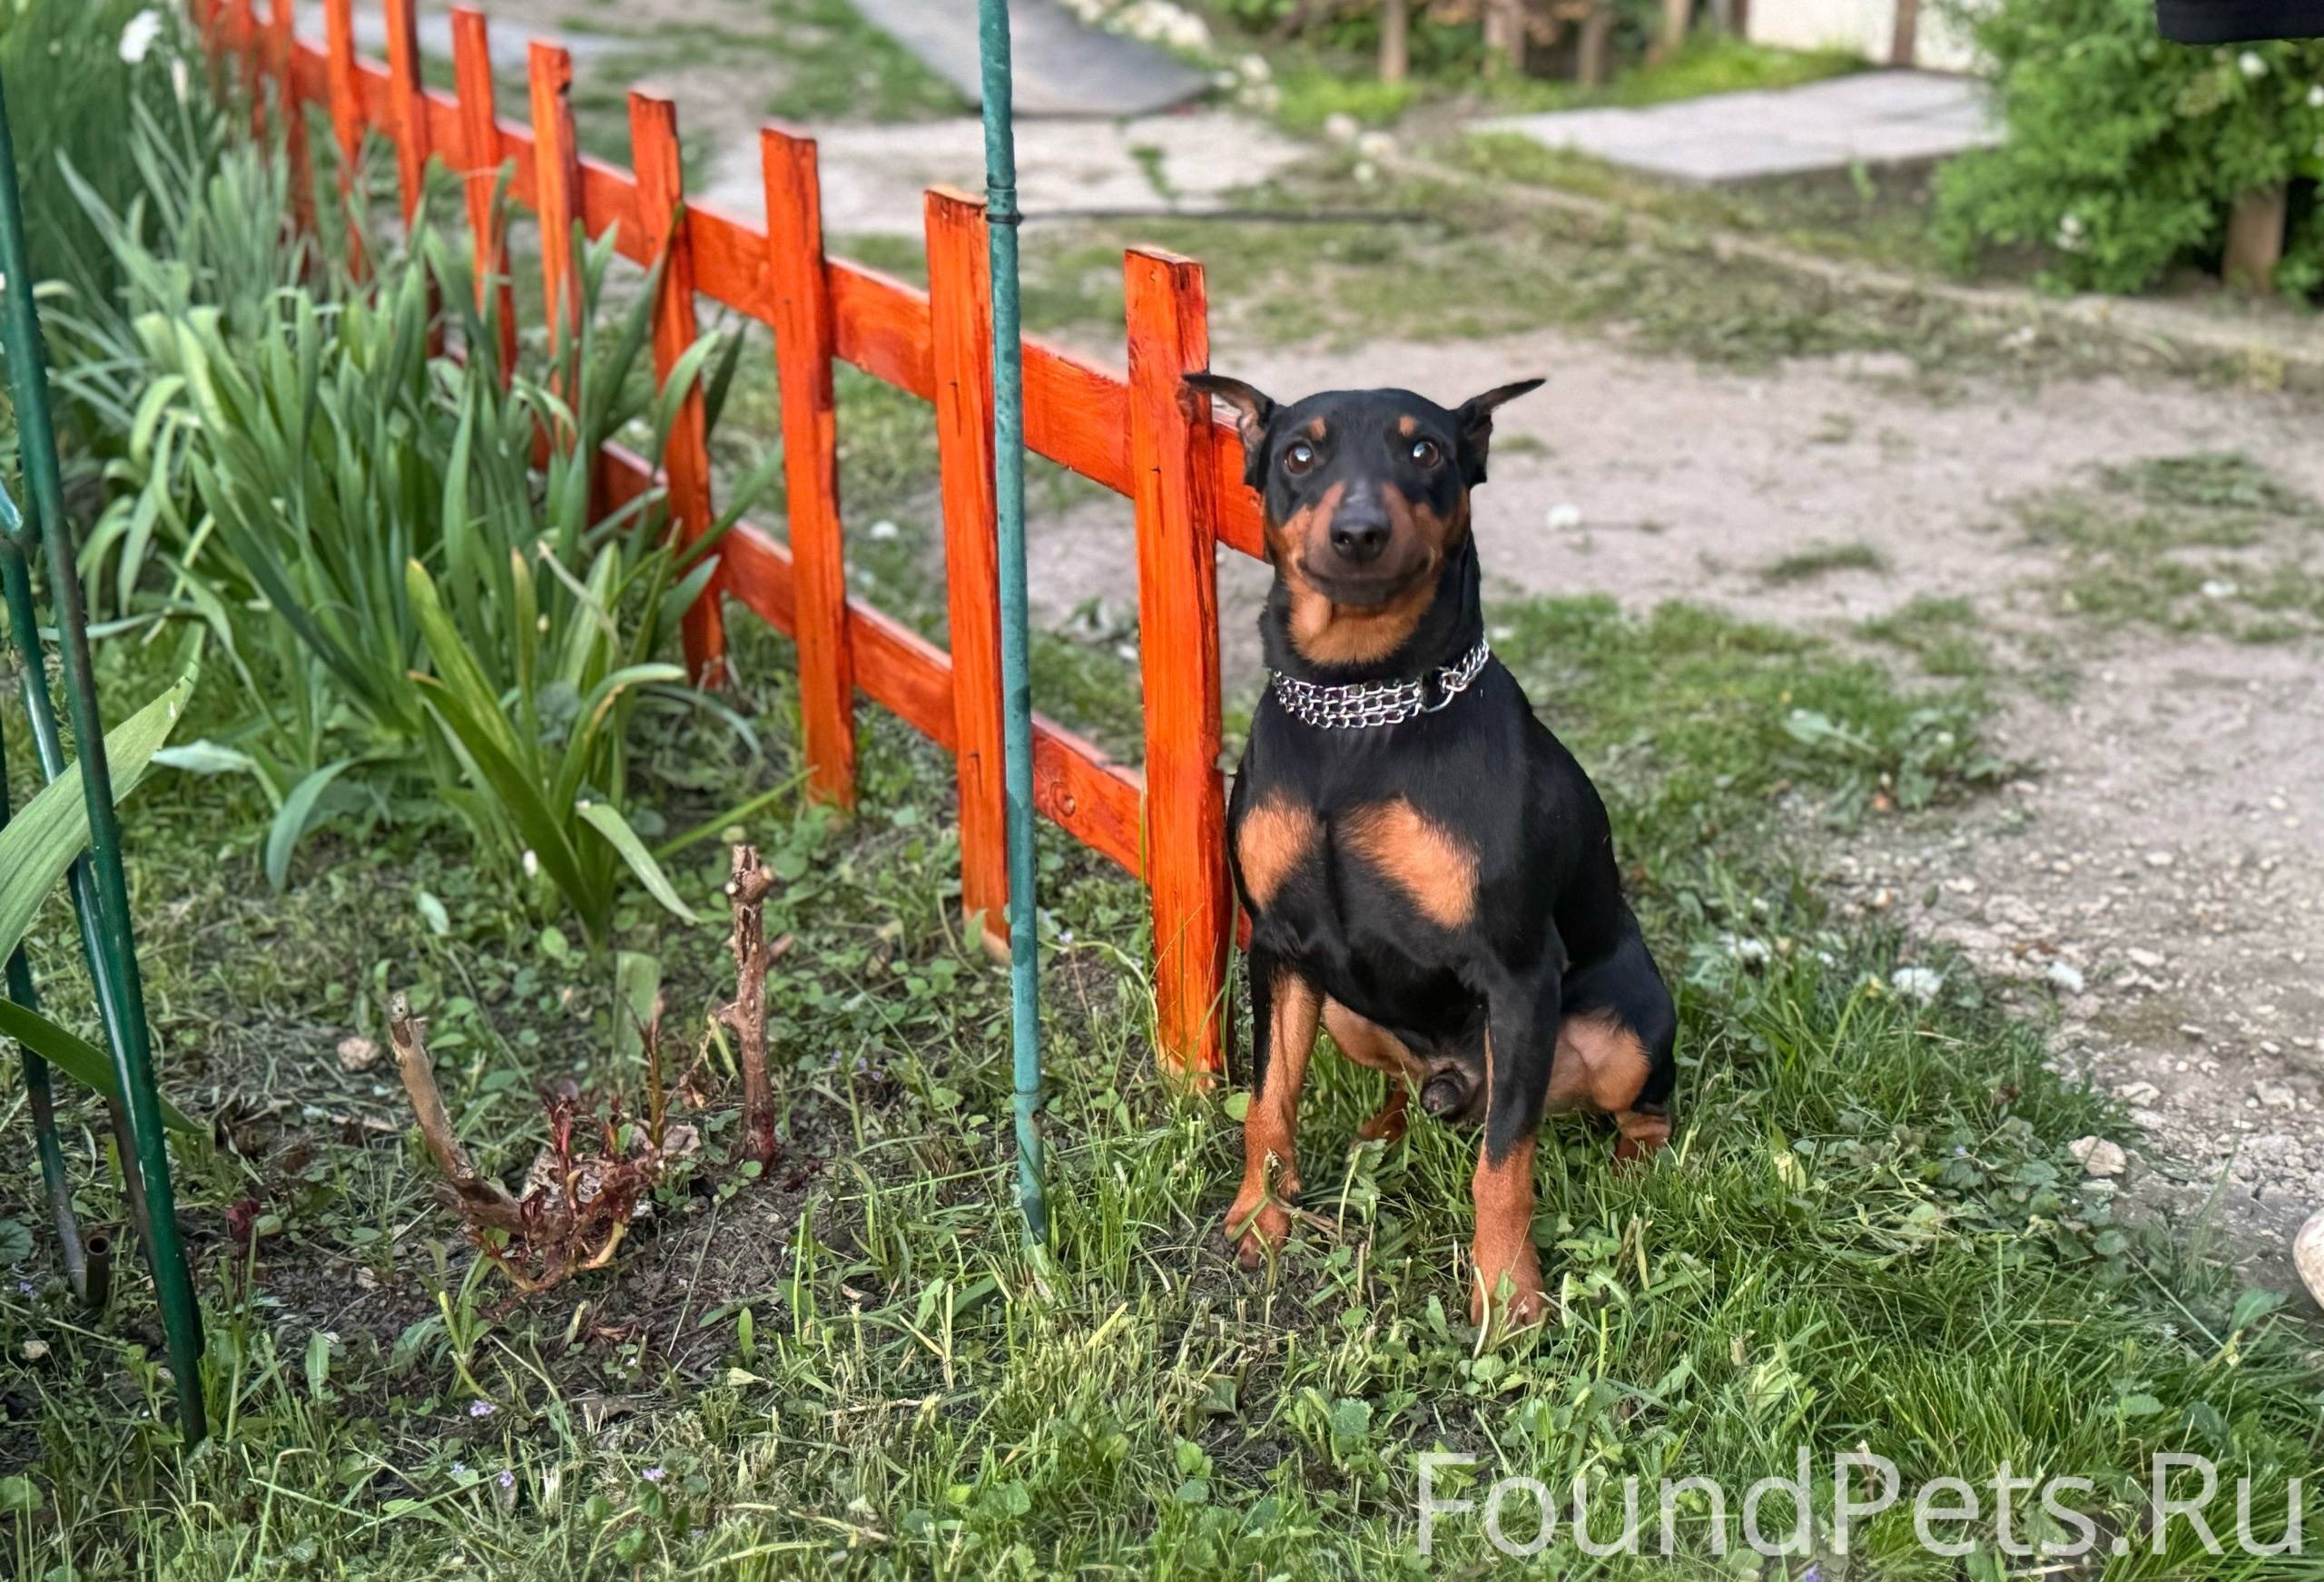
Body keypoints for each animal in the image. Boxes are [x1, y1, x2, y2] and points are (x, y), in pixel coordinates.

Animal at [1189, 374, 1682, 1329]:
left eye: (1425, 450)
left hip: (1629, 1030)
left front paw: (1508, 1294)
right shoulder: (1279, 945)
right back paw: (1385, 1127)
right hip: (1348, 1012)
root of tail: (1458, 1076)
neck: (1359, 705)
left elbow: (1505, 1167)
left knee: (1640, 1106)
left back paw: (1634, 1168)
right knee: (1398, 1085)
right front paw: (1260, 1217)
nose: (1359, 532)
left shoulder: (1518, 972)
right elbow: (1269, 1101)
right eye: (1299, 454)